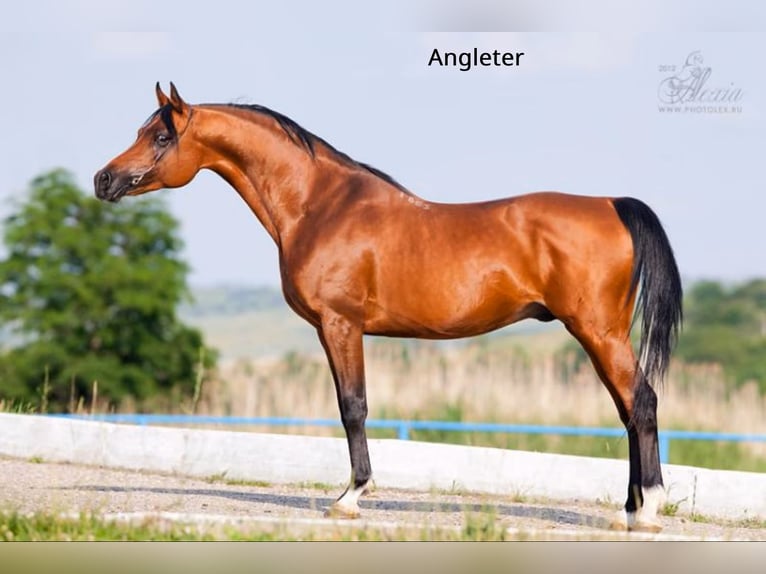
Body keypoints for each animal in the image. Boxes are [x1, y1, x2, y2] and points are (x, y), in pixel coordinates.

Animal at [95, 83, 682, 532]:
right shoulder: (332, 329)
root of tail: (612, 205)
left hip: (598, 332)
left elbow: (352, 407)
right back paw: (629, 510)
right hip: (600, 336)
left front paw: (350, 498)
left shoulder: (341, 326)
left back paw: (648, 509)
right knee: (629, 409)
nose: (104, 180)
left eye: (162, 136)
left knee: (642, 403)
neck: (320, 206)